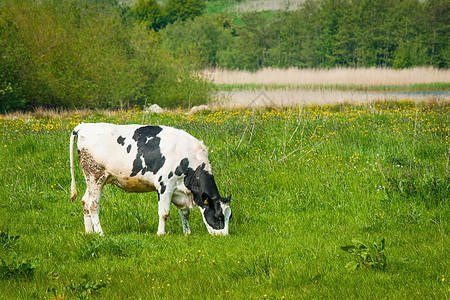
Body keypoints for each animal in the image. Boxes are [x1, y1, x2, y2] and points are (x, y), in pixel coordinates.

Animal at [71, 123, 232, 236]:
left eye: (229, 216)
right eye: (218, 217)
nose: (224, 236)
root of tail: (83, 126)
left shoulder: (179, 191)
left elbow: (185, 212)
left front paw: (187, 232)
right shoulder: (165, 184)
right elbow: (164, 212)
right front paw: (161, 233)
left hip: (96, 179)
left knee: (85, 201)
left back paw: (89, 232)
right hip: (95, 175)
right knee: (93, 205)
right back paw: (100, 233)